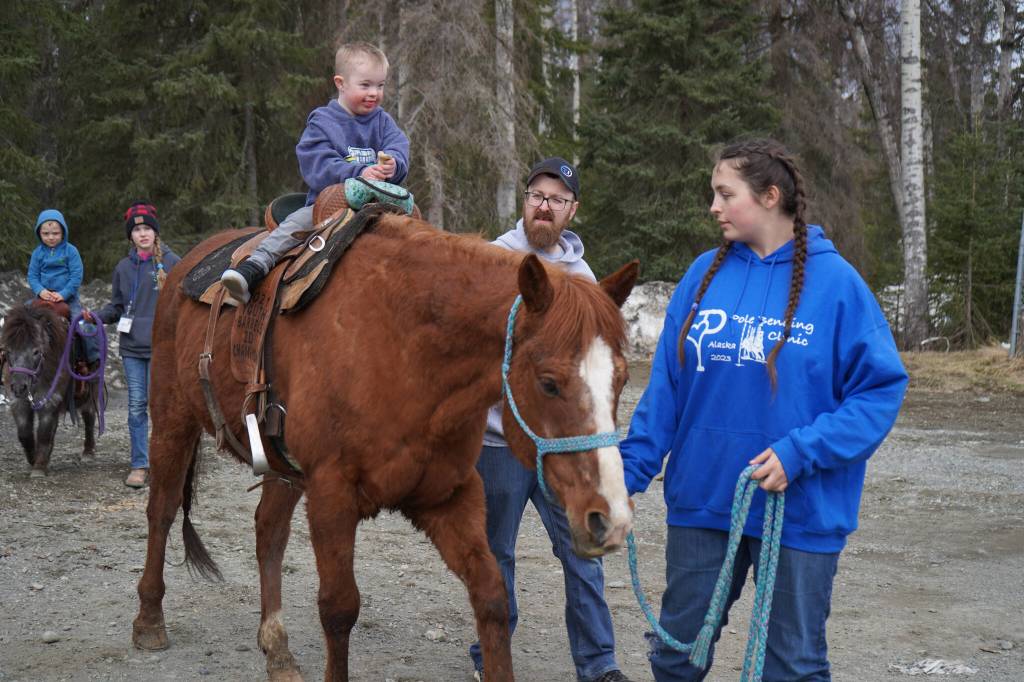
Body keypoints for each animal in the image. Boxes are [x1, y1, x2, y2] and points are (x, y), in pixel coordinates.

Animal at [1, 305, 100, 477]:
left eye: (36, 351)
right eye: (8, 350)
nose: (19, 387)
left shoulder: (50, 398)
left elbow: (44, 432)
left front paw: (39, 467)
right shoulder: (18, 401)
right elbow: (25, 433)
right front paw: (34, 459)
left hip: (89, 393)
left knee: (89, 417)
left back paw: (88, 453)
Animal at [131, 211, 639, 681]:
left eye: (621, 378)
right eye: (549, 383)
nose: (609, 518)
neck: (408, 351)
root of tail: (184, 267)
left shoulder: (449, 497)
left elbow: (493, 595)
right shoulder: (332, 495)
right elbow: (339, 609)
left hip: (282, 467)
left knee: (268, 531)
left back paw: (278, 652)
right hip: (173, 418)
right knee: (162, 510)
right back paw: (149, 620)